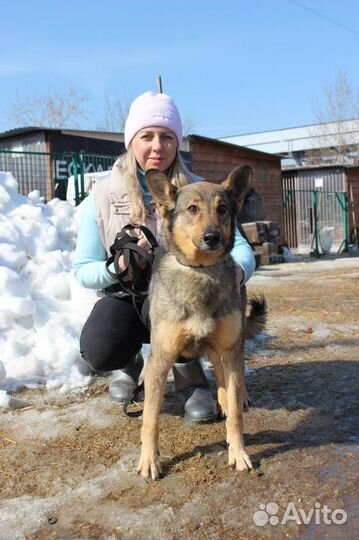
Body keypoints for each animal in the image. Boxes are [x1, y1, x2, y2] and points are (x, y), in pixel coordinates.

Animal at [138, 166, 268, 480]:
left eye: (222, 209)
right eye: (193, 209)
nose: (212, 237)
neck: (201, 271)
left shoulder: (230, 349)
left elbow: (236, 416)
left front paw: (238, 453)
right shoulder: (161, 358)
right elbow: (150, 418)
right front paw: (149, 460)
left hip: (231, 346)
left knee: (229, 377)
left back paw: (236, 398)